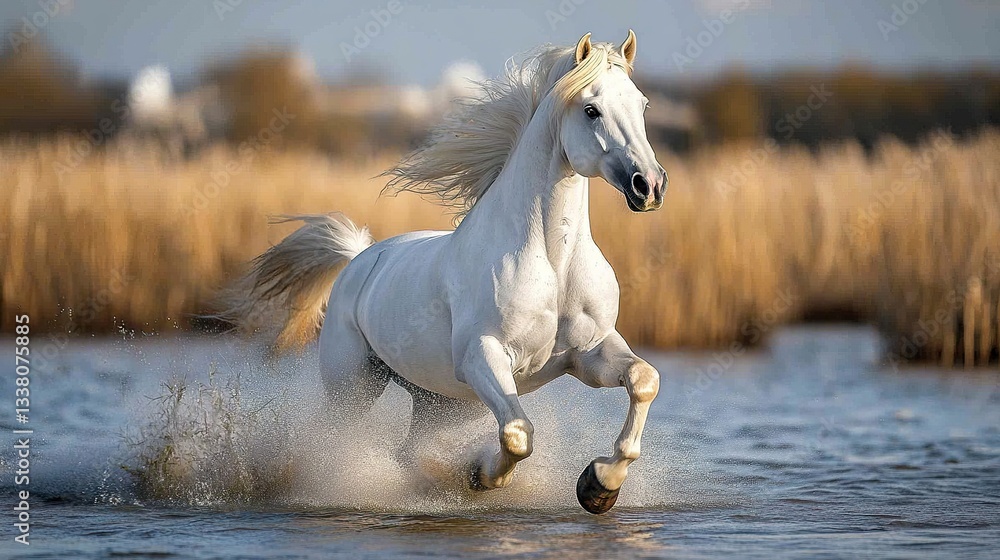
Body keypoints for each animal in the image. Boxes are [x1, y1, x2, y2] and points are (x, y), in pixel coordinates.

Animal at [219, 31, 668, 514]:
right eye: (590, 109)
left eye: (642, 104)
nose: (649, 186)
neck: (553, 263)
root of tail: (360, 258)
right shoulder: (484, 355)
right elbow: (517, 434)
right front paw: (476, 476)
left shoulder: (587, 353)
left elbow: (644, 380)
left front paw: (599, 485)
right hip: (354, 385)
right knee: (335, 441)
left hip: (440, 401)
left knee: (408, 449)